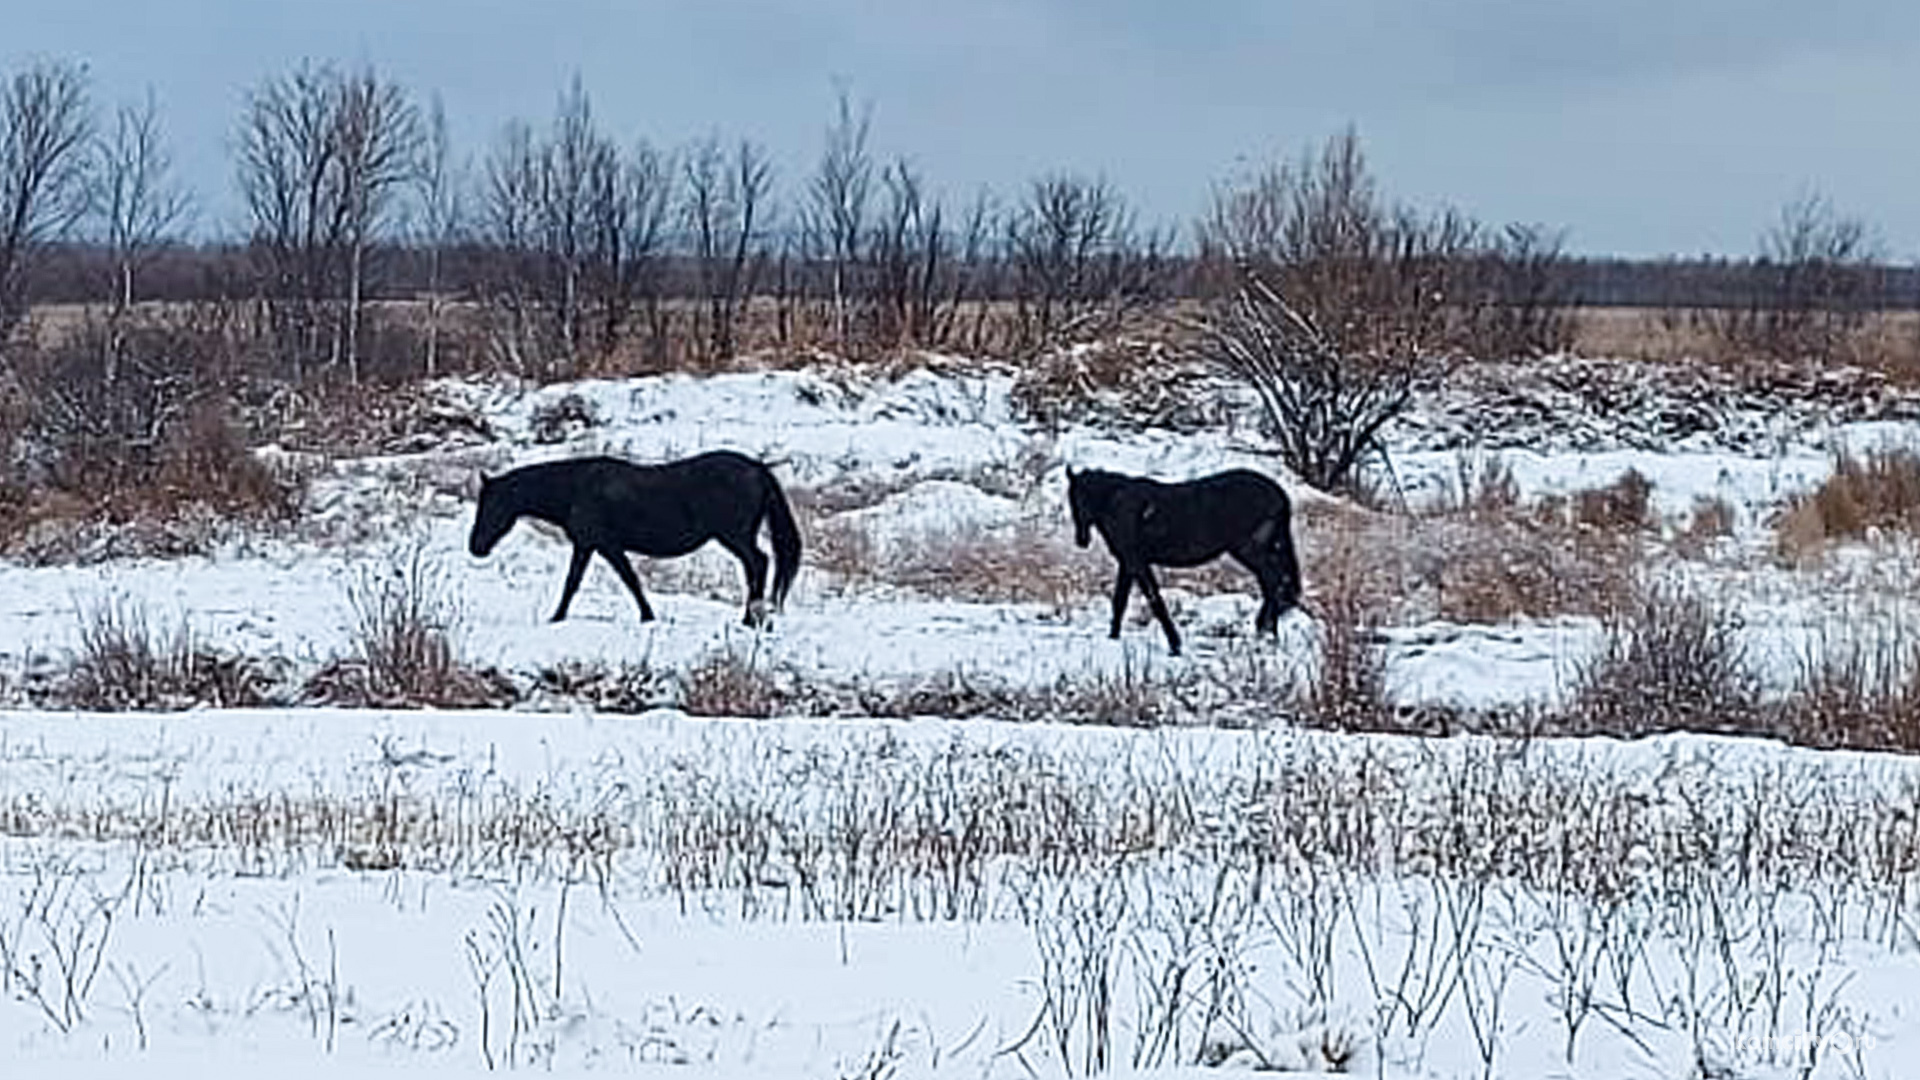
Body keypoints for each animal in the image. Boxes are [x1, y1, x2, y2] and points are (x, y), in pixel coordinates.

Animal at [472, 449, 802, 626]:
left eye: (490, 505)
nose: (475, 547)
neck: (576, 488)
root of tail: (757, 468)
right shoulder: (595, 546)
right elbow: (607, 580)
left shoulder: (599, 544)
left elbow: (606, 580)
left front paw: (556, 617)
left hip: (735, 536)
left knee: (758, 563)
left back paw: (751, 618)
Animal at [1067, 465, 1305, 657]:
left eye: (1079, 499)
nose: (1081, 540)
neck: (1117, 502)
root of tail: (1279, 495)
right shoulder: (1127, 564)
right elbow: (1120, 602)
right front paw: (1113, 638)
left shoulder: (1137, 562)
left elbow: (1155, 601)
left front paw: (1175, 645)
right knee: (1274, 585)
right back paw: (1268, 633)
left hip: (1251, 550)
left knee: (1274, 583)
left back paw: (1266, 631)